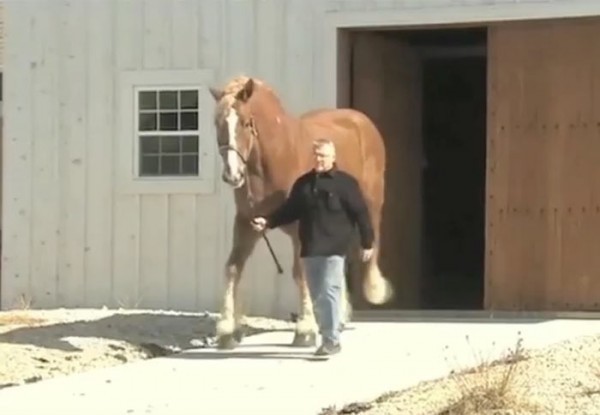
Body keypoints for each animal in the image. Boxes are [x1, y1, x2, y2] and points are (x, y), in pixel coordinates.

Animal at [207, 75, 394, 352]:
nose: (232, 175)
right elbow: (232, 268)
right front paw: (226, 331)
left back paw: (370, 292)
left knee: (371, 244)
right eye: (217, 122)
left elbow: (300, 272)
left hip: (370, 204)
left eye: (245, 122)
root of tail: (361, 120)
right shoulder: (246, 223)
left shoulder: (300, 227)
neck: (275, 158)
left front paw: (305, 330)